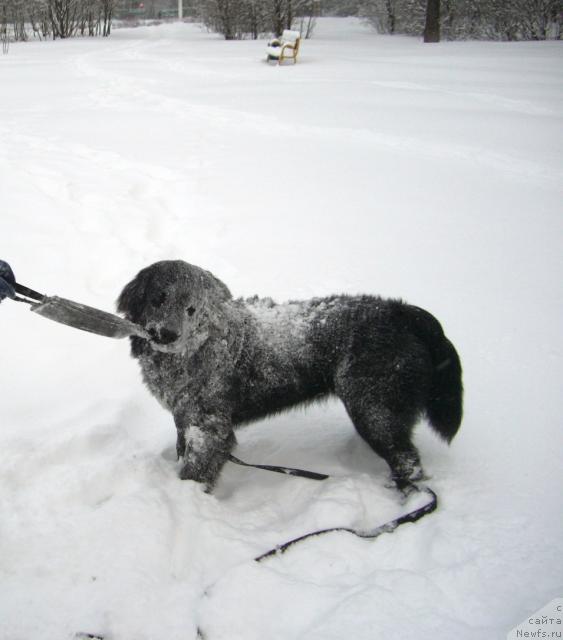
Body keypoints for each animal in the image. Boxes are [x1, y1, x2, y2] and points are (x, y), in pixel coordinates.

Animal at [118, 262, 462, 492]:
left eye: (191, 309)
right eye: (158, 298)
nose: (165, 334)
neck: (195, 348)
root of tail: (402, 313)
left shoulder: (211, 428)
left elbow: (196, 470)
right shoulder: (186, 418)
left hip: (376, 410)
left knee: (408, 462)